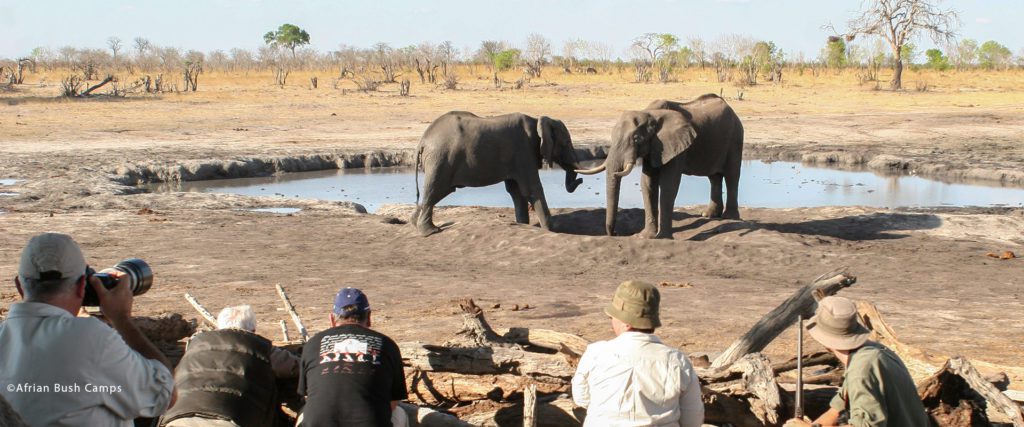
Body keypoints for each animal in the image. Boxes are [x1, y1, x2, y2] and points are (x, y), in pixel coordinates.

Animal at [411, 111, 584, 236]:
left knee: (433, 194)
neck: (537, 121)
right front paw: (552, 229)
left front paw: (522, 224)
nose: (581, 180)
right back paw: (430, 232)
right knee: (435, 192)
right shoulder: (524, 151)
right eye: (566, 142)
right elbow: (531, 188)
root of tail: (422, 141)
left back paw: (414, 223)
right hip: (440, 160)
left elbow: (516, 191)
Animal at [576, 94, 744, 238]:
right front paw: (646, 236)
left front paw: (663, 237)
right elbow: (647, 182)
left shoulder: (677, 145)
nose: (616, 233)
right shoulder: (654, 147)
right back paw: (709, 215)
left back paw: (730, 217)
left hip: (736, 136)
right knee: (714, 177)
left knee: (732, 176)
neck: (650, 113)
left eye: (637, 139)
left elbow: (669, 183)